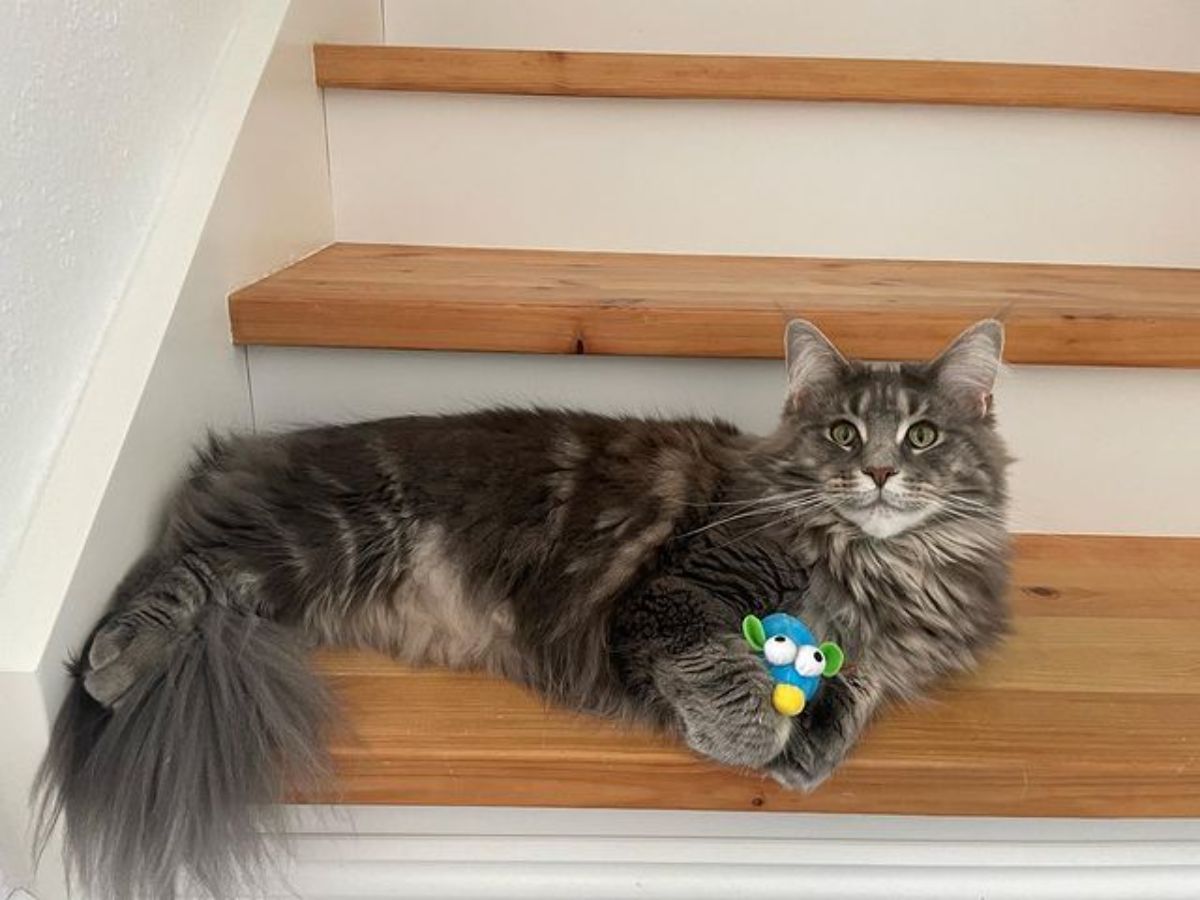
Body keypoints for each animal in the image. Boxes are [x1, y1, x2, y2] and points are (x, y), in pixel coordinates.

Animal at [35, 316, 1012, 897]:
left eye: (922, 435)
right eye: (845, 434)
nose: (879, 472)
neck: (878, 562)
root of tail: (243, 455)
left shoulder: (895, 647)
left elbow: (856, 684)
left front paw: (814, 741)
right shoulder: (674, 592)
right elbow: (719, 664)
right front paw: (756, 732)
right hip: (317, 539)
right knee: (181, 570)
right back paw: (113, 664)